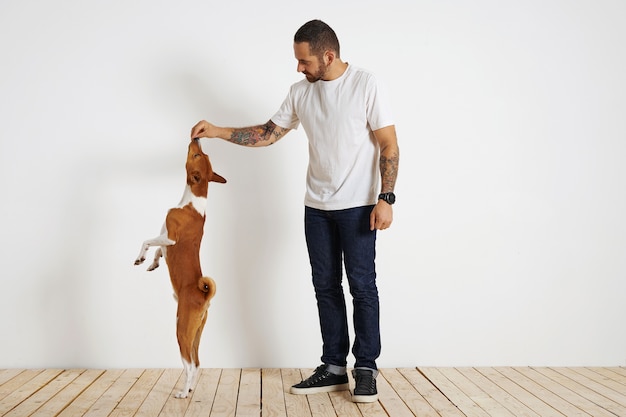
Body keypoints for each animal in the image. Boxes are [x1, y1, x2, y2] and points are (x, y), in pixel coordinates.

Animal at [134, 138, 227, 398]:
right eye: (202, 154)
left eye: (195, 155)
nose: (196, 138)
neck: (192, 202)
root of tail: (204, 295)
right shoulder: (165, 241)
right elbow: (158, 250)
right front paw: (153, 263)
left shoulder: (170, 238)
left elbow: (147, 241)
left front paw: (140, 258)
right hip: (197, 333)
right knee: (197, 363)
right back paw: (191, 388)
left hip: (182, 331)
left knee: (189, 365)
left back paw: (184, 392)